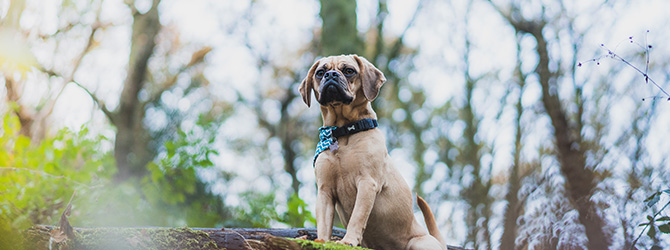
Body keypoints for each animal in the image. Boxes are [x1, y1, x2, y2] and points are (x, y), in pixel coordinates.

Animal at [300, 55, 446, 250]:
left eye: (349, 70)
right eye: (320, 72)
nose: (330, 75)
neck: (344, 132)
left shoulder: (367, 183)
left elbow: (357, 217)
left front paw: (348, 240)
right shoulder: (325, 191)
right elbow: (324, 224)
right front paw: (322, 241)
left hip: (419, 243)